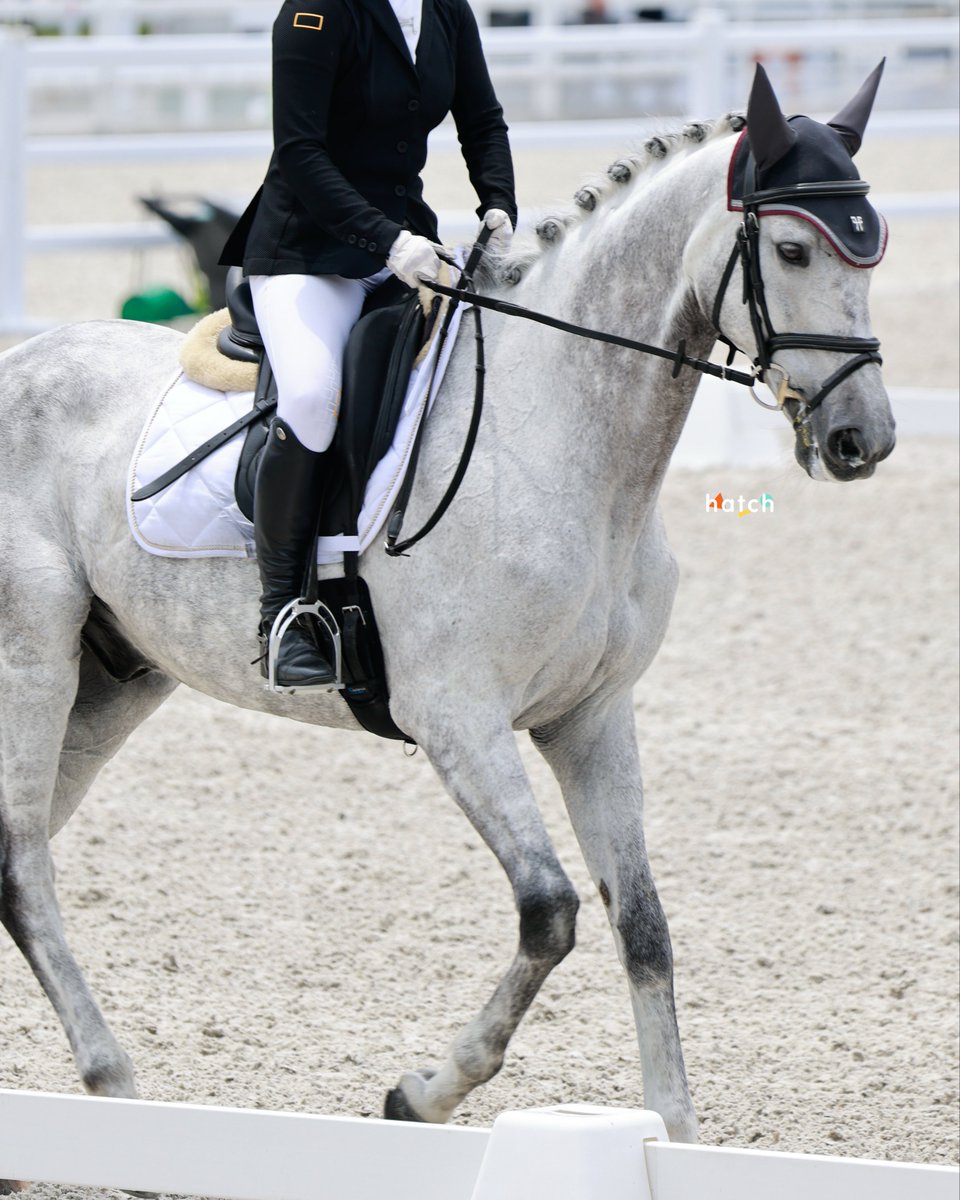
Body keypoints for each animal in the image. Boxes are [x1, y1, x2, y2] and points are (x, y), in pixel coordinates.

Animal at [0, 63, 894, 1169]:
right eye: (793, 250)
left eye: (874, 244)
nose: (863, 439)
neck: (561, 434)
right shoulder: (457, 716)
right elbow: (550, 911)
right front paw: (422, 1096)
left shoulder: (592, 717)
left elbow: (641, 923)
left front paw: (676, 1130)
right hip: (34, 656)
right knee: (24, 863)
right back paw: (114, 1082)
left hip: (113, 679)